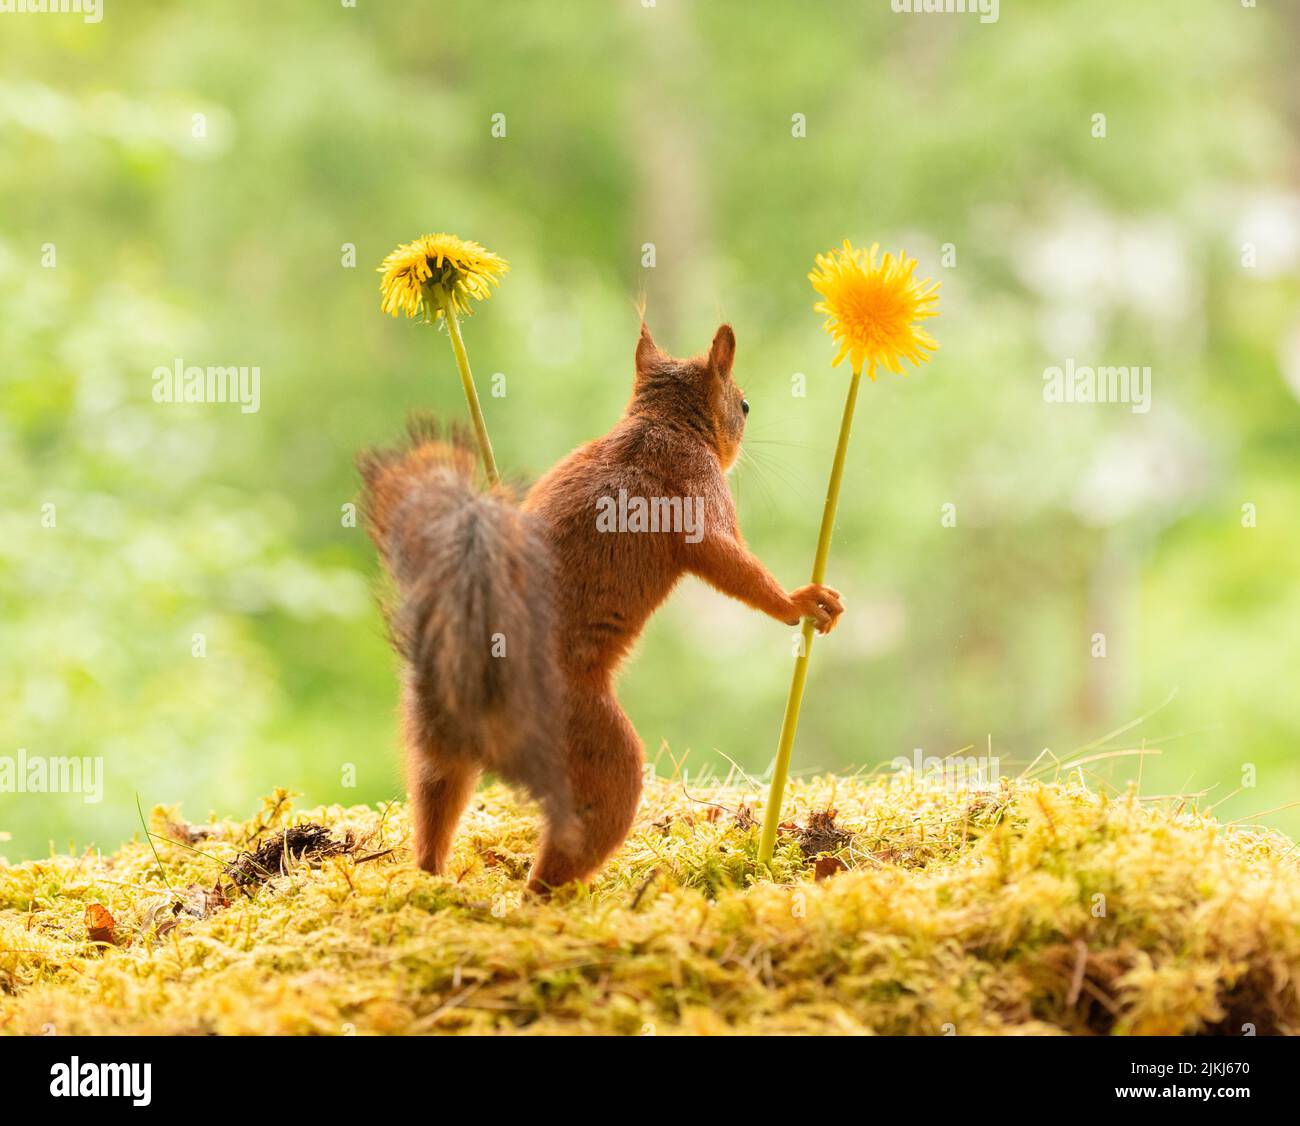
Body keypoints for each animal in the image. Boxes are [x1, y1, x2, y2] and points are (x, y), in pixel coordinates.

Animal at [361, 319, 842, 889]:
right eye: (744, 405)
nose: (746, 426)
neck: (659, 423)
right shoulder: (698, 494)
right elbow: (731, 563)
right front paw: (801, 602)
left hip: (435, 741)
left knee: (435, 803)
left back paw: (434, 878)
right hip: (586, 750)